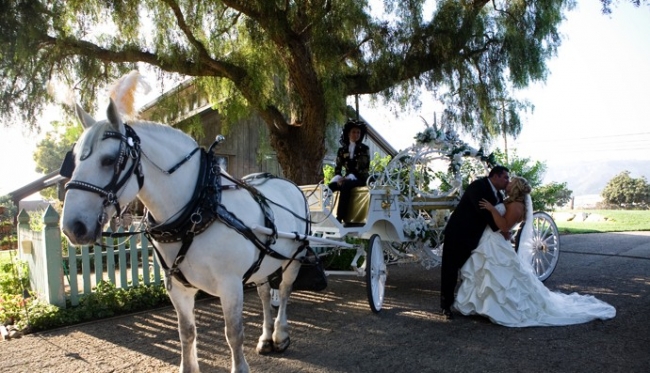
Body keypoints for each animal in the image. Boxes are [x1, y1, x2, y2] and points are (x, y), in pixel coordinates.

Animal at [60, 99, 308, 372]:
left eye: (109, 159)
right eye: (75, 160)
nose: (73, 226)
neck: (199, 208)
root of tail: (290, 184)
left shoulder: (230, 284)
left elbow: (233, 333)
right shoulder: (178, 287)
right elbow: (186, 332)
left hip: (294, 259)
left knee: (283, 292)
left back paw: (280, 335)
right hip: (263, 264)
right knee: (265, 295)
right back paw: (265, 337)